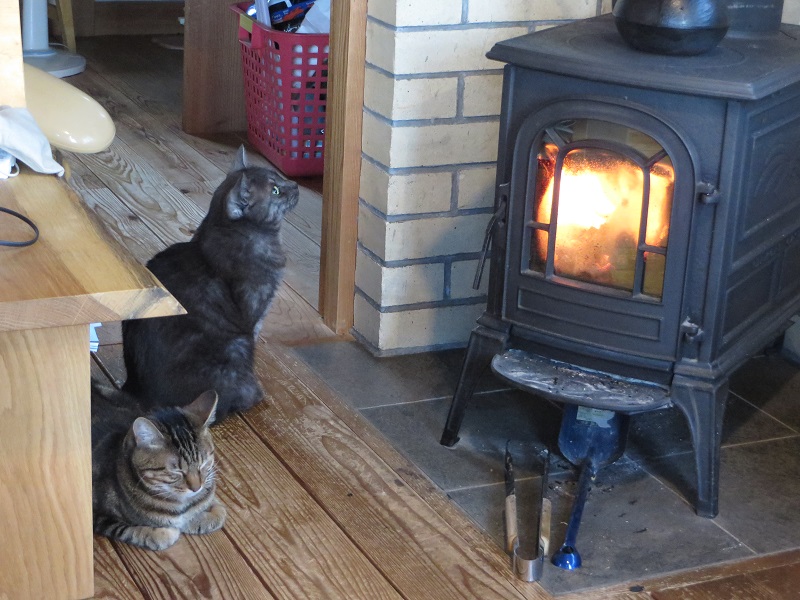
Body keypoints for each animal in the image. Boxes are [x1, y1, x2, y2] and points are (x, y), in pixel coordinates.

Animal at [91, 382, 226, 551]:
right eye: (177, 471)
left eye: (204, 464)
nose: (196, 488)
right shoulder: (97, 515)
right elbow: (133, 531)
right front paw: (164, 531)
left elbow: (213, 506)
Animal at [122, 145, 299, 422]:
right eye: (275, 191)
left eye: (279, 179)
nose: (296, 185)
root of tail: (139, 394)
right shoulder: (255, 312)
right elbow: (256, 333)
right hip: (237, 345)